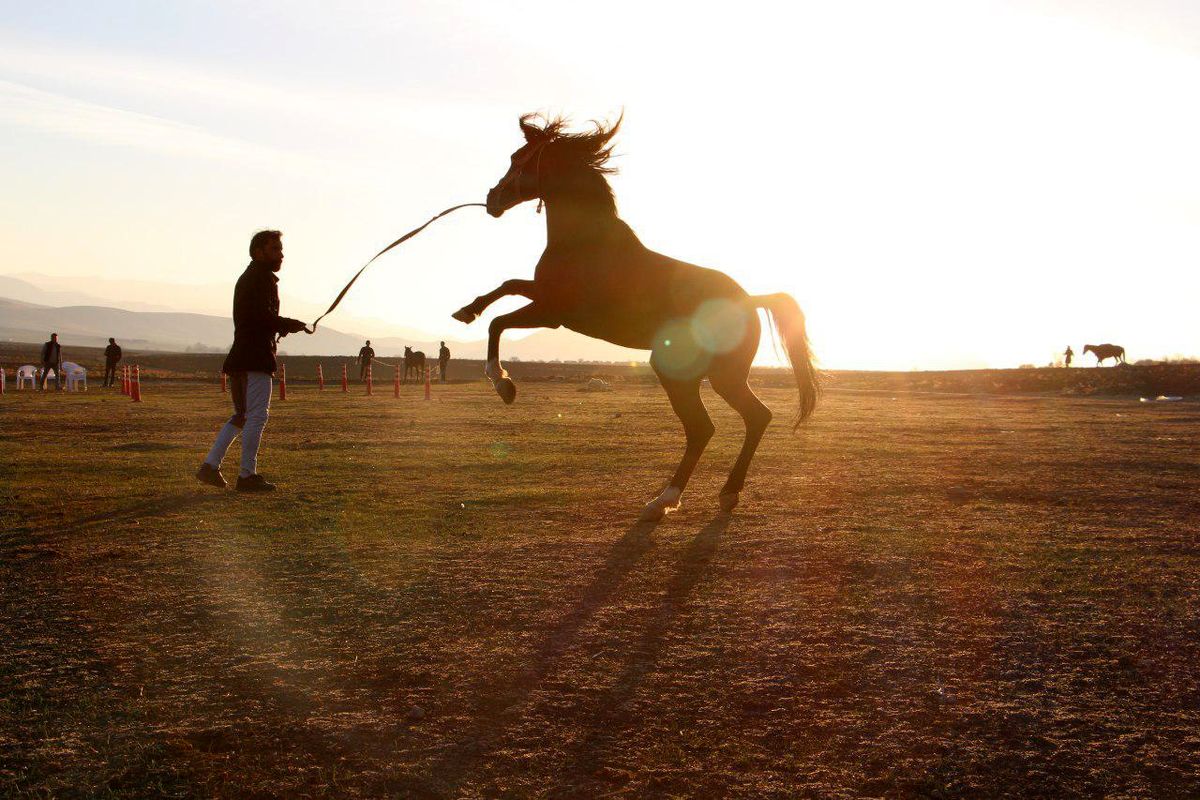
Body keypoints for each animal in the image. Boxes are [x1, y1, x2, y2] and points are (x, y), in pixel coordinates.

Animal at [453, 112, 820, 520]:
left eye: (518, 159)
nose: (492, 199)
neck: (585, 242)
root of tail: (749, 301)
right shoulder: (544, 296)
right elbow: (507, 286)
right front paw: (466, 311)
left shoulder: (552, 312)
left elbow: (498, 323)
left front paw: (503, 384)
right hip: (722, 377)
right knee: (754, 418)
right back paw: (722, 494)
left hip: (690, 373)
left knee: (706, 427)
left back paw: (667, 499)